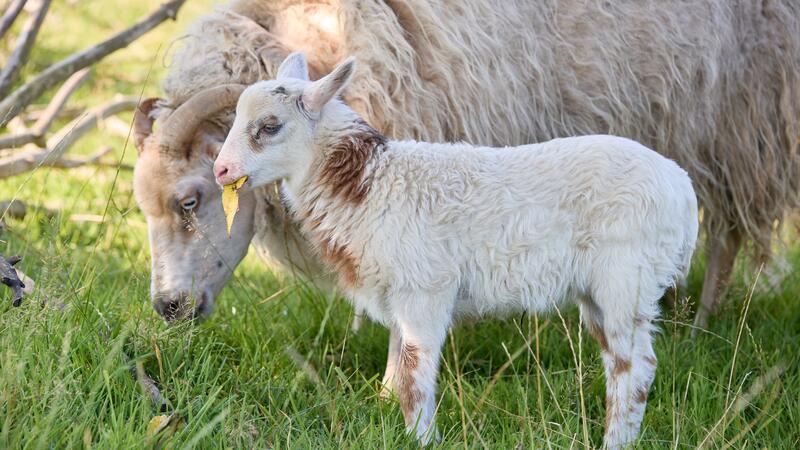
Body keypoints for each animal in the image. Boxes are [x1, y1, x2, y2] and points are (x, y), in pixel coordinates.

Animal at [212, 53, 700, 448]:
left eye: (269, 126)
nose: (221, 170)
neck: (369, 185)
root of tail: (682, 188)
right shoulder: (399, 293)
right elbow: (399, 372)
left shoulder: (425, 289)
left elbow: (414, 376)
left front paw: (422, 439)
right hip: (602, 289)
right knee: (623, 362)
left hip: (627, 276)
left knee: (634, 367)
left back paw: (615, 441)